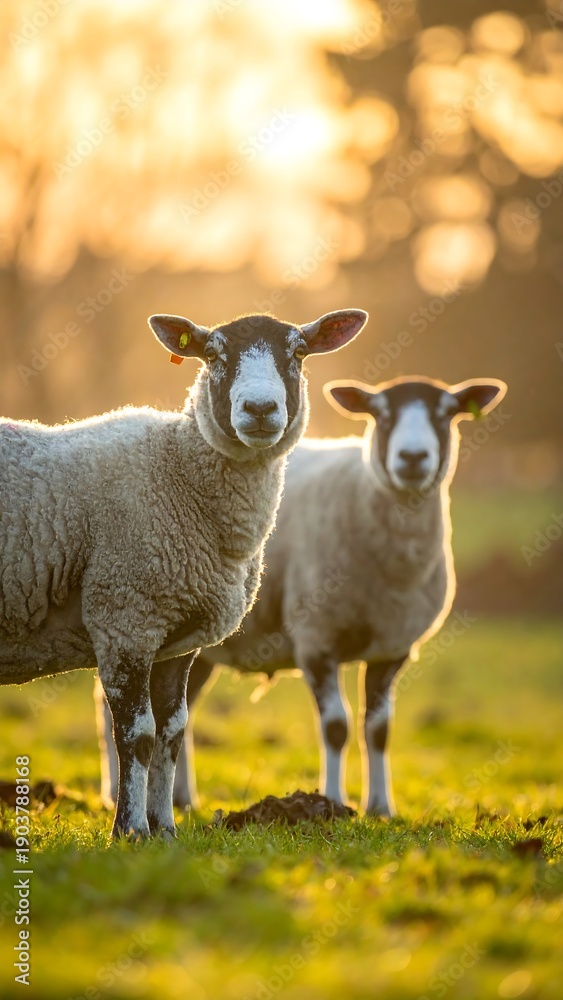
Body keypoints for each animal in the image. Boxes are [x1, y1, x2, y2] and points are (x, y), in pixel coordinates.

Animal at [0, 308, 368, 838]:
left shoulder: (177, 641)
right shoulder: (126, 617)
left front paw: (165, 829)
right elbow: (138, 734)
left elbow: (172, 733)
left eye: (298, 352)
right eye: (213, 355)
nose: (260, 409)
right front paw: (131, 830)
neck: (178, 469)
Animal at [98, 372, 507, 816]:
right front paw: (332, 802)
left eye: (446, 413)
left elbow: (378, 729)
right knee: (111, 704)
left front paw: (381, 807)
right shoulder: (316, 640)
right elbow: (336, 726)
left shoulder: (392, 648)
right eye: (380, 414)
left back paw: (183, 799)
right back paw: (116, 794)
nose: (412, 458)